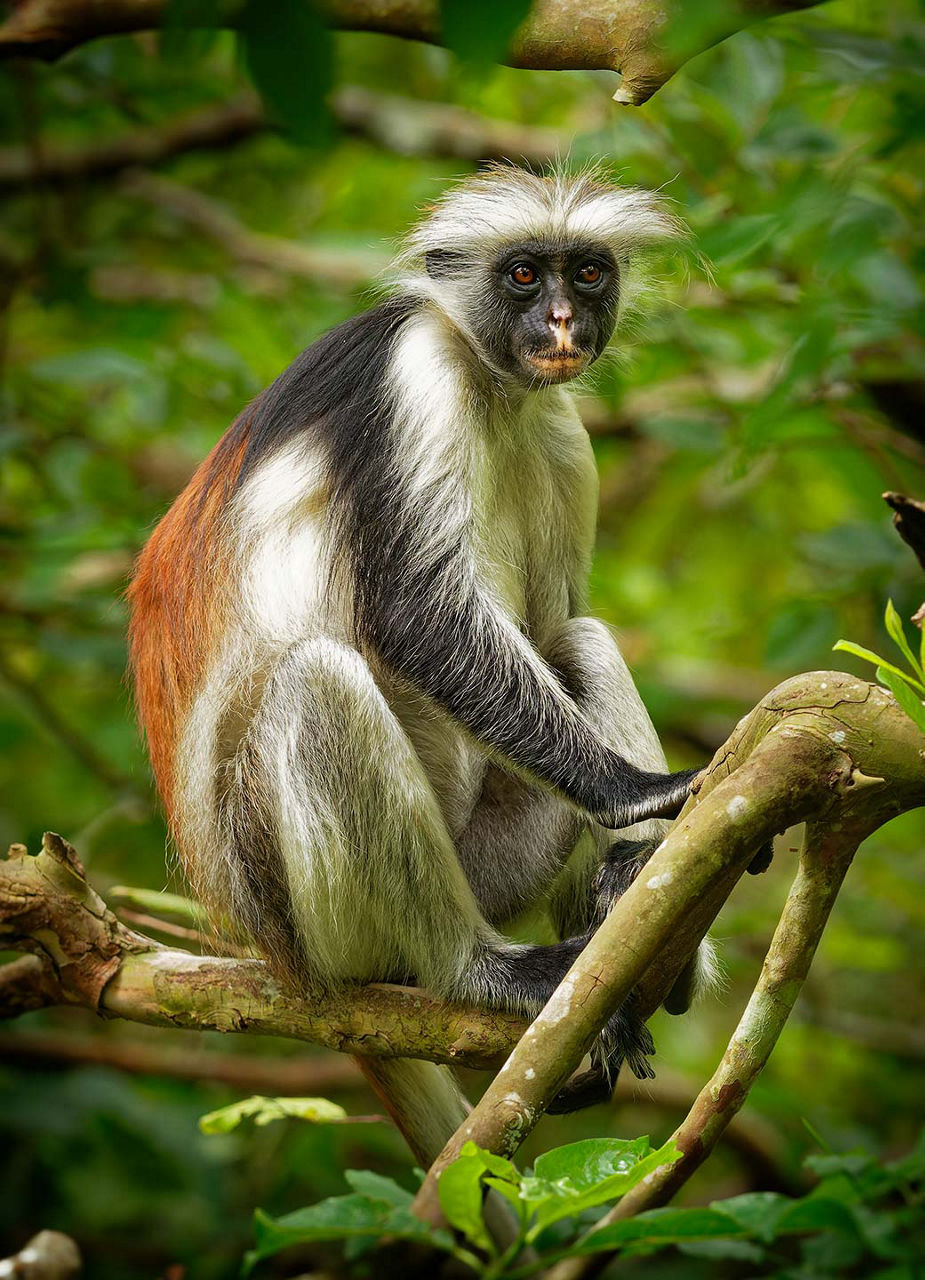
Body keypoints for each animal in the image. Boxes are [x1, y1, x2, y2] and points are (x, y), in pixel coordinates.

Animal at [128, 165, 715, 1154]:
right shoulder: (411, 373)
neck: (489, 384)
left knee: (575, 638)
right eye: (522, 276)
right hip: (295, 901)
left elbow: (557, 625)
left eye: (587, 273)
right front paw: (637, 791)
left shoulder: (559, 429)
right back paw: (477, 969)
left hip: (490, 857)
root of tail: (269, 950)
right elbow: (413, 615)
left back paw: (632, 915)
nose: (563, 320)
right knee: (316, 681)